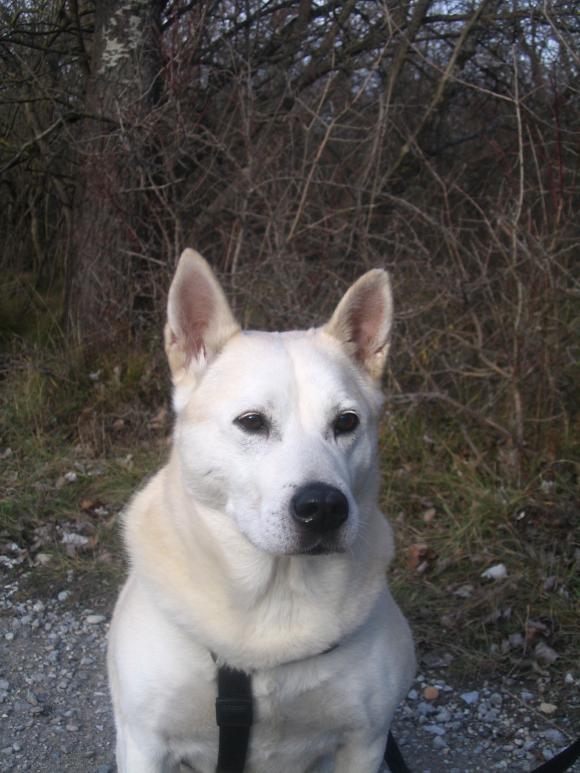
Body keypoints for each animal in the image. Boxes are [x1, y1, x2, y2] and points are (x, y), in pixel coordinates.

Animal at [109, 250, 414, 768]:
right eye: (252, 422)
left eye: (346, 422)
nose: (324, 507)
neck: (275, 597)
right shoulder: (144, 743)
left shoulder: (366, 740)